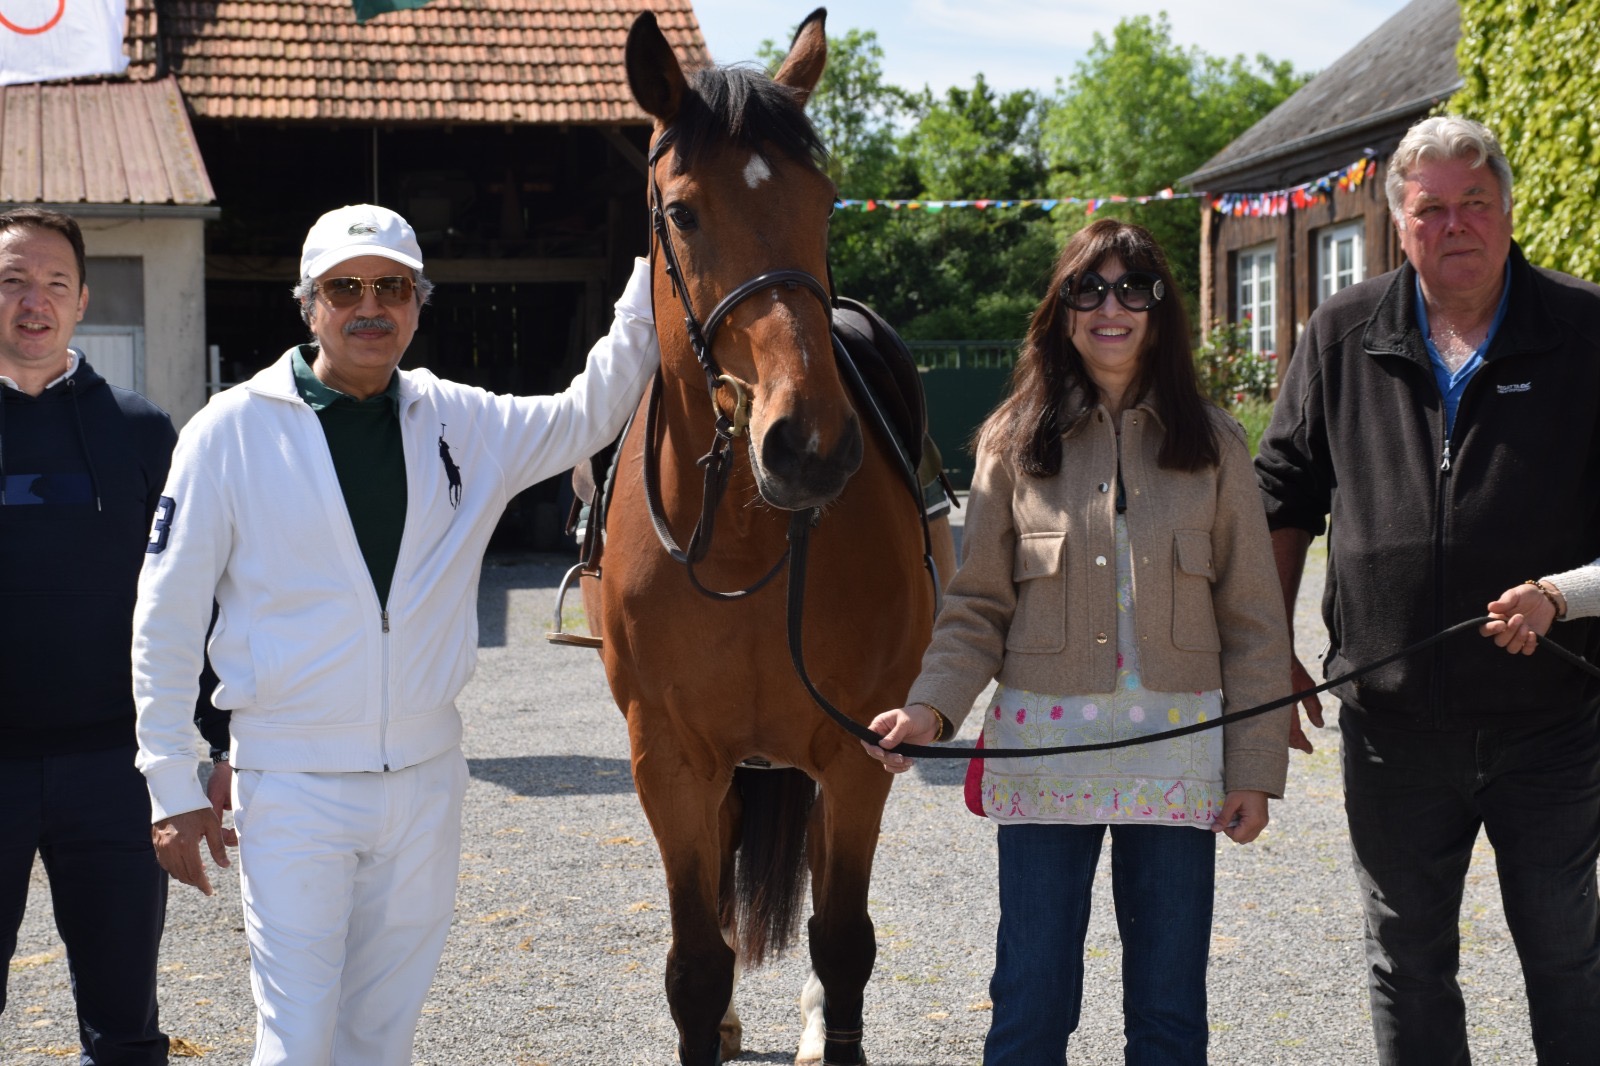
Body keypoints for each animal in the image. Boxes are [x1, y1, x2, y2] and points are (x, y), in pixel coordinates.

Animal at [585, 8, 934, 1062]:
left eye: (823, 205)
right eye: (684, 213)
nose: (809, 445)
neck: (743, 543)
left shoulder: (858, 752)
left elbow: (845, 941)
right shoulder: (669, 761)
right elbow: (696, 966)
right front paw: (720, 1003)